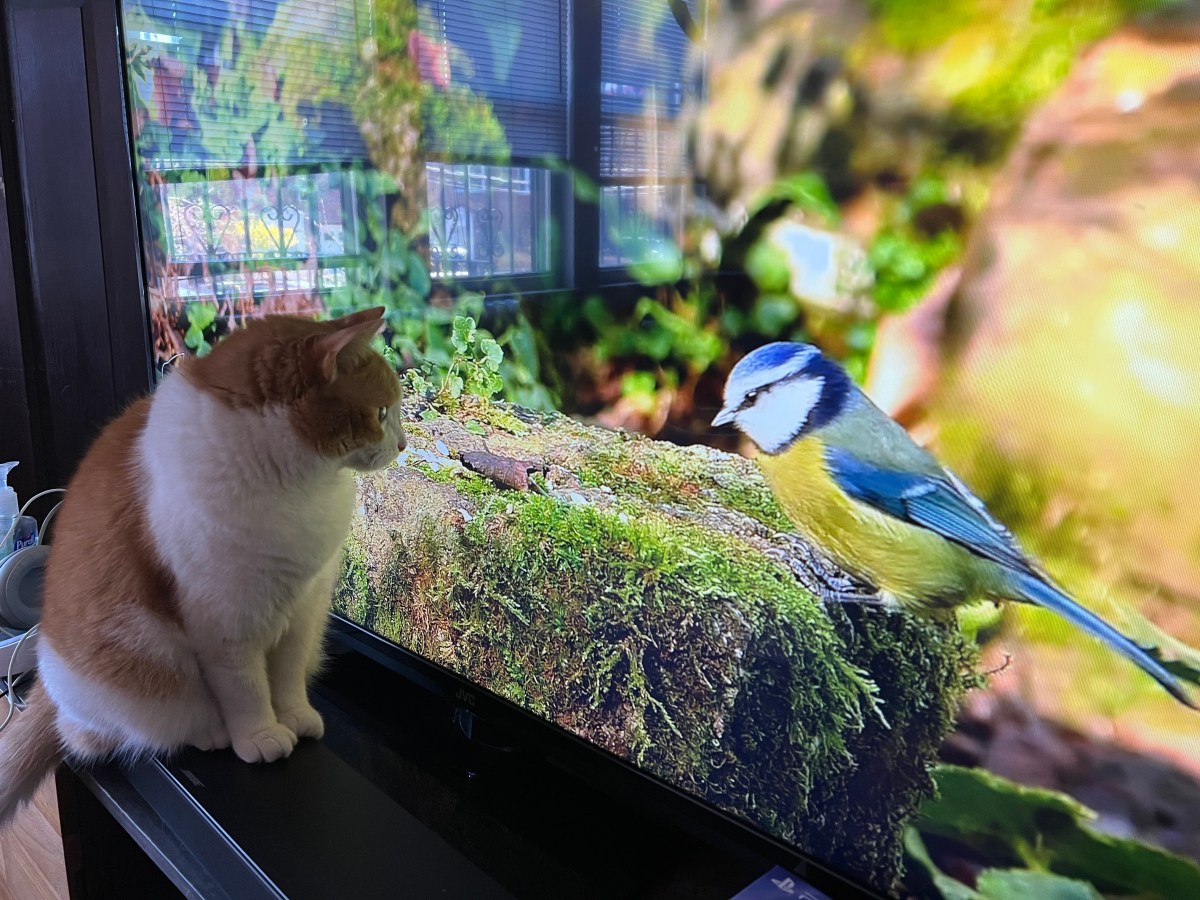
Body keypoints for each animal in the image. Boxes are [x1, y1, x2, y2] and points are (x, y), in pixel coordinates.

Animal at [0, 309, 405, 825]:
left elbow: (289, 675)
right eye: (381, 413)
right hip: (135, 666)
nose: (404, 444)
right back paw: (208, 732)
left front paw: (294, 716)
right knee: (100, 734)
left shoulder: (304, 609)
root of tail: (49, 684)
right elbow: (247, 690)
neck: (299, 488)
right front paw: (260, 734)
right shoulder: (226, 623)